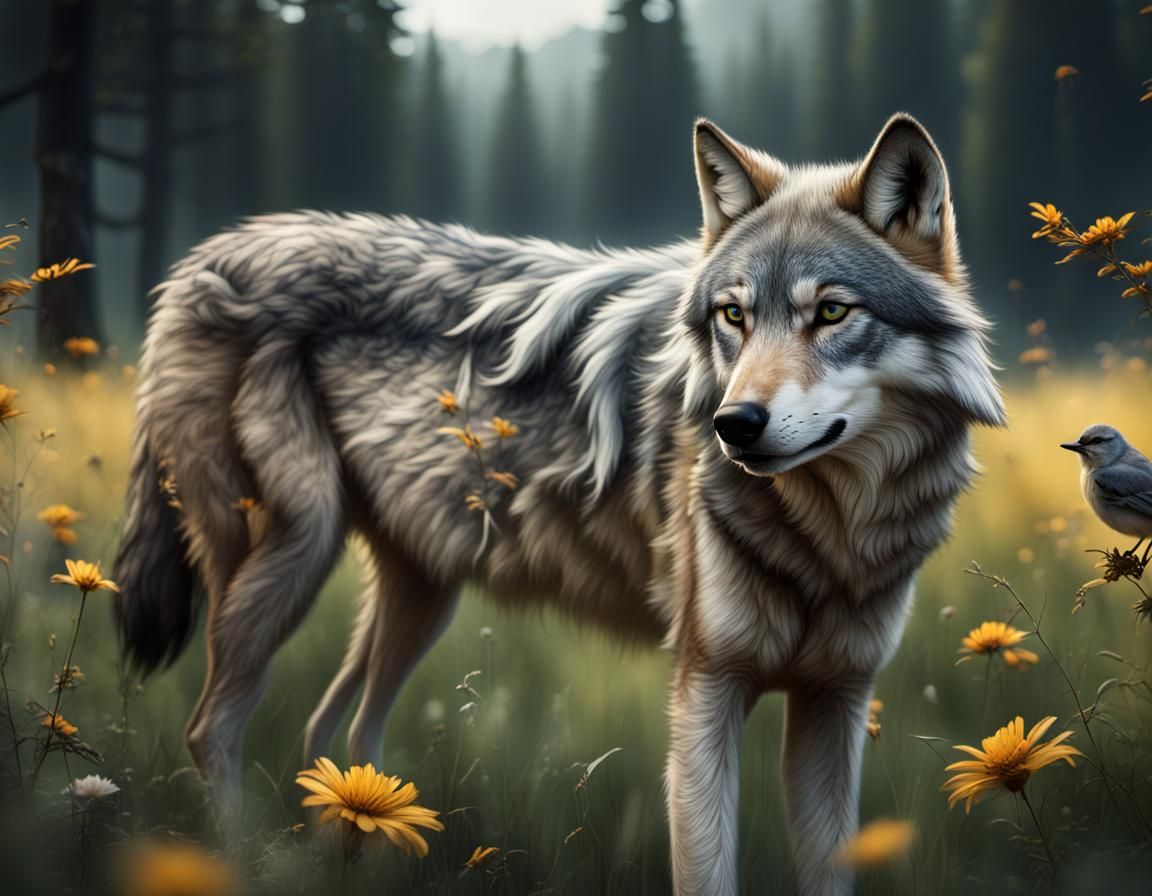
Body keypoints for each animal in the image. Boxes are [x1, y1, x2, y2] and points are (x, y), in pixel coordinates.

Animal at [114, 113, 1003, 895]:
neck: (829, 531)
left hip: (419, 597)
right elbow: (706, 870)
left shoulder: (836, 701)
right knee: (214, 728)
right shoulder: (705, 689)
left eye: (832, 312)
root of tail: (205, 256)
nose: (733, 425)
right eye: (734, 316)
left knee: (336, 734)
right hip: (297, 554)